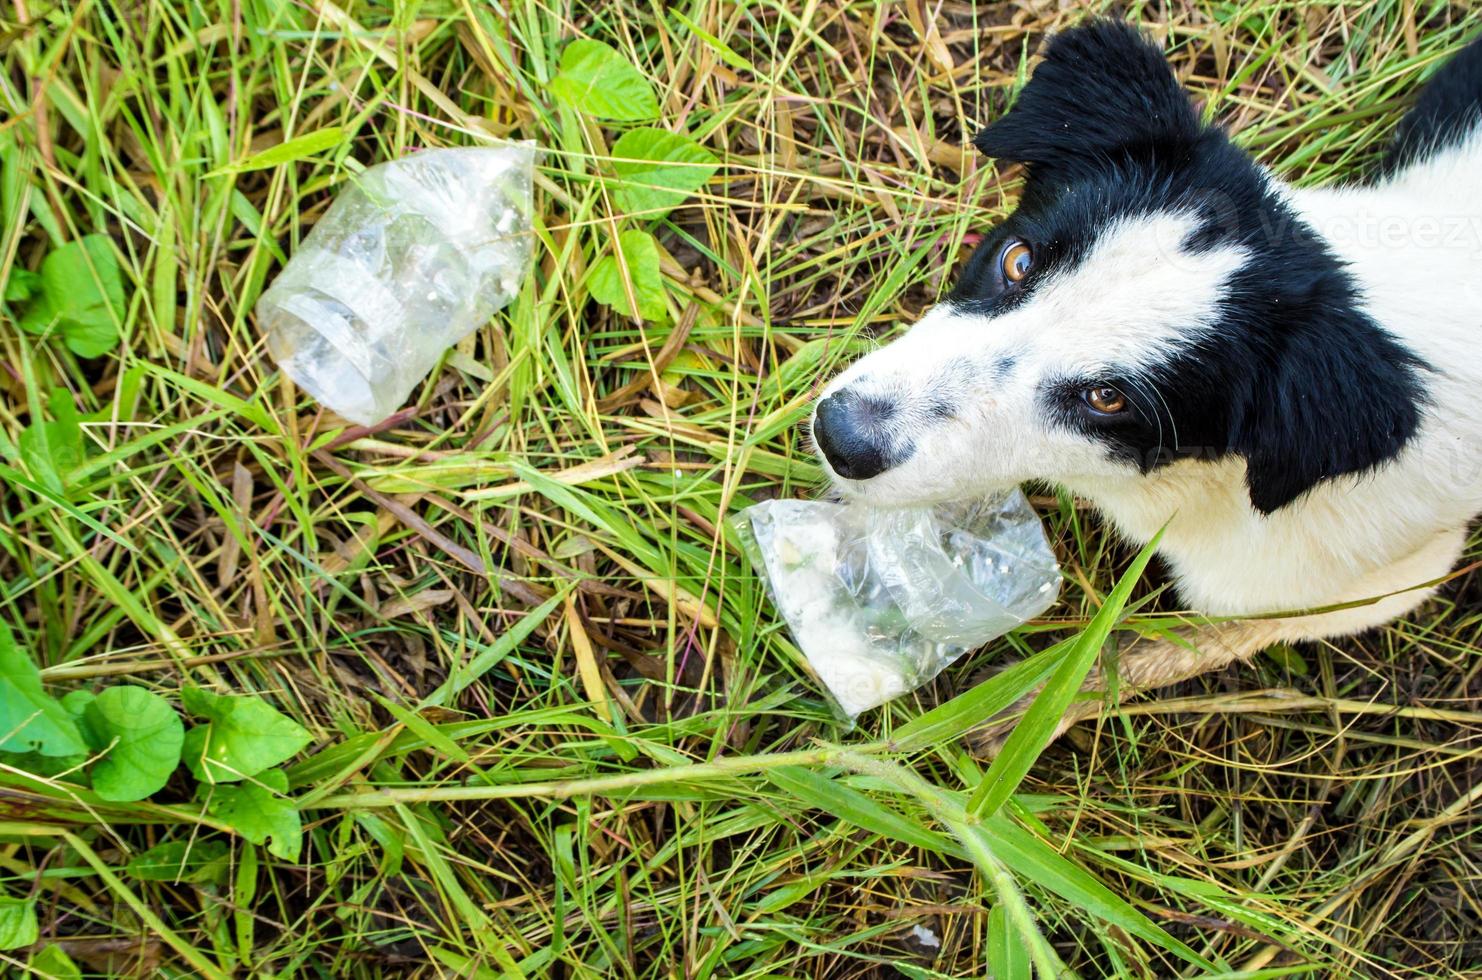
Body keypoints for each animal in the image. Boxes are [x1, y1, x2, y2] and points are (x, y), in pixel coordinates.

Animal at [812, 21, 1482, 741]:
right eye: (1018, 260)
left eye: (1109, 399)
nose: (839, 436)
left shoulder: (1387, 580)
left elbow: (1171, 644)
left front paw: (1013, 713)